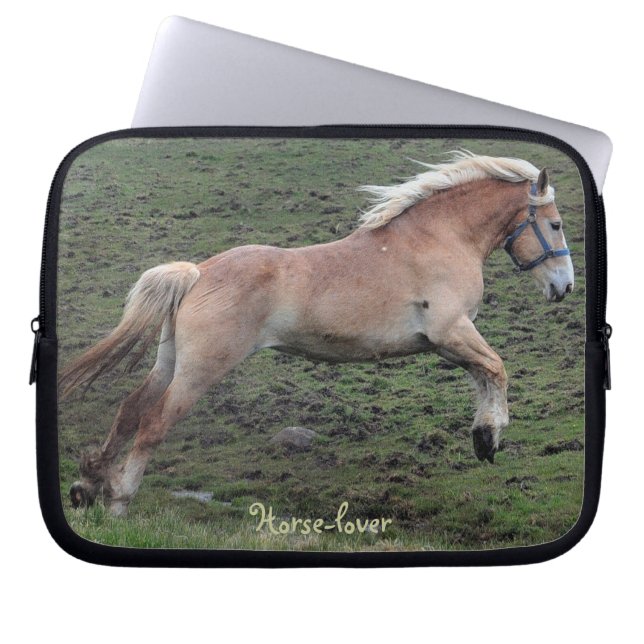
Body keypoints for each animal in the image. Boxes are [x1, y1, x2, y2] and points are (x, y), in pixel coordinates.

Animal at [61, 151, 574, 517]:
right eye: (555, 224)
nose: (564, 286)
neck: (439, 238)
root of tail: (197, 274)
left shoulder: (452, 342)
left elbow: (484, 375)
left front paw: (483, 437)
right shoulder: (451, 332)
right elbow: (497, 369)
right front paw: (490, 436)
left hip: (170, 362)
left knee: (130, 409)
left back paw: (88, 485)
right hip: (200, 371)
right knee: (152, 424)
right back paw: (119, 500)